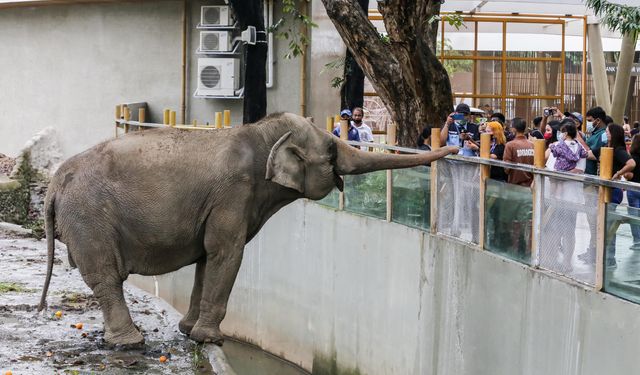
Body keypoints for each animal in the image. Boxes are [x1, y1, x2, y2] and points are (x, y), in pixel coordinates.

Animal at [37, 112, 458, 346]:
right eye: (331, 152)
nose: (454, 148)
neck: (260, 133)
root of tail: (54, 185)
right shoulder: (234, 194)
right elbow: (228, 253)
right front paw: (210, 339)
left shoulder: (216, 205)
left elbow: (208, 257)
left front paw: (188, 331)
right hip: (89, 217)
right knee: (106, 276)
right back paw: (130, 344)